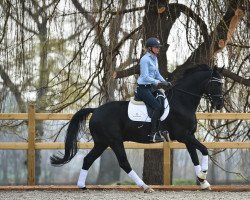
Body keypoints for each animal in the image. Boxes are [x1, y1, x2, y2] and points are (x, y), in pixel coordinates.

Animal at [50, 64, 223, 192]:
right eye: (216, 83)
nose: (219, 105)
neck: (182, 102)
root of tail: (96, 110)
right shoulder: (183, 136)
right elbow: (204, 150)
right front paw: (203, 176)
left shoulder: (188, 137)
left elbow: (195, 157)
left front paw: (203, 182)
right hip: (114, 141)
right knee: (123, 163)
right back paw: (145, 187)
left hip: (102, 142)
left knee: (88, 159)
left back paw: (82, 186)